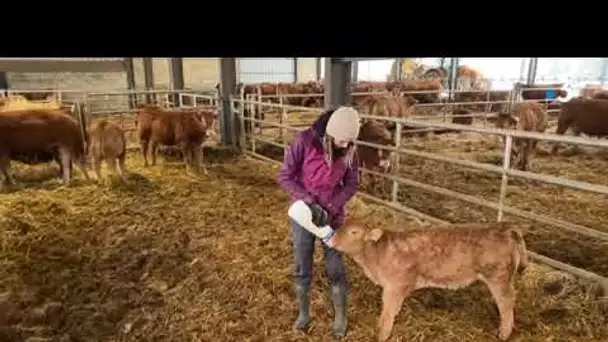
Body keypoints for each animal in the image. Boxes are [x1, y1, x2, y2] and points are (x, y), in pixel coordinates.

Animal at [328, 220, 528, 340]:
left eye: (354, 232)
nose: (331, 239)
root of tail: (506, 228)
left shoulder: (395, 286)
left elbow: (388, 312)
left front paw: (382, 334)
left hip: (497, 277)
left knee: (507, 301)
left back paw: (503, 333)